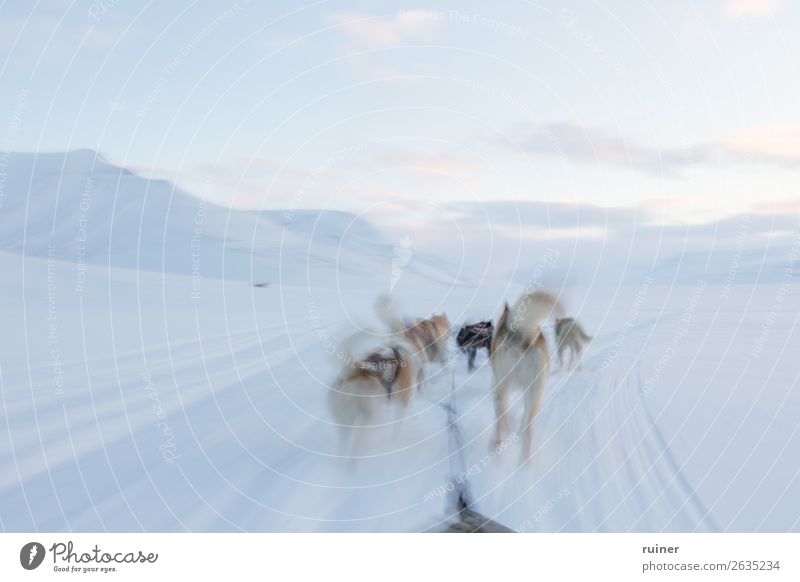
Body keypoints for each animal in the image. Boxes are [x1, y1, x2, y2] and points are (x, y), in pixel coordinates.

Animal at [494, 294, 564, 464]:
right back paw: (524, 463)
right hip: (536, 393)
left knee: (502, 417)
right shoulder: (527, 391)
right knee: (529, 428)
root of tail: (521, 338)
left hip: (503, 386)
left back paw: (499, 447)